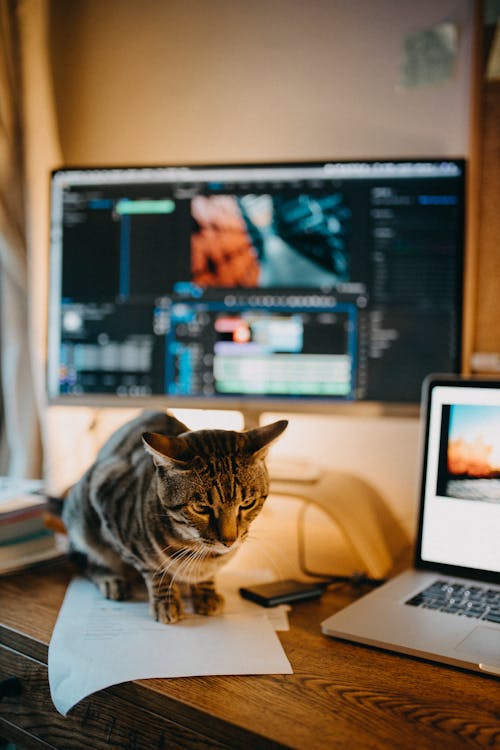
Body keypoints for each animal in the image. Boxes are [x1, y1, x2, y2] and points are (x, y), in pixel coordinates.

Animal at [62, 412, 288, 624]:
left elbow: (206, 575)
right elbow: (154, 570)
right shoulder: (108, 502)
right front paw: (166, 601)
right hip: (82, 521)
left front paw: (205, 593)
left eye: (247, 503)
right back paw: (111, 579)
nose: (229, 541)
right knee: (86, 559)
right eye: (201, 508)